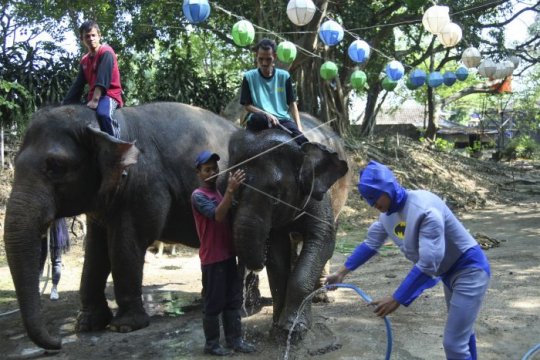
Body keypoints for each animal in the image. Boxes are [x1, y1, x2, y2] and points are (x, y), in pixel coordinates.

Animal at [2, 102, 238, 350]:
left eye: (56, 166)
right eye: (15, 163)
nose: (58, 343)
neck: (108, 127)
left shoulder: (145, 186)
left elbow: (125, 244)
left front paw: (124, 326)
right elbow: (95, 251)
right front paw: (86, 324)